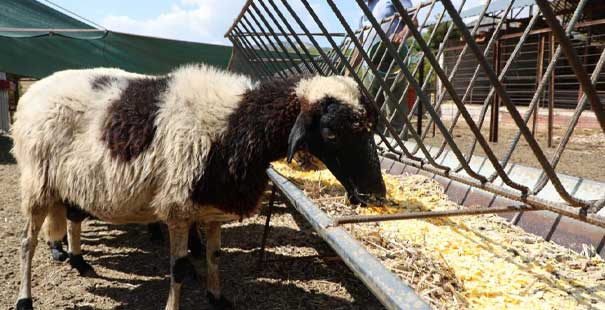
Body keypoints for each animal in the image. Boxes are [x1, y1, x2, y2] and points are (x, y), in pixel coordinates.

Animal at [11, 64, 384, 308]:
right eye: (331, 133)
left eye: (371, 128)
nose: (374, 195)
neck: (238, 125)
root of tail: (33, 91)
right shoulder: (178, 207)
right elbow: (177, 269)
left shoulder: (211, 206)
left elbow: (214, 256)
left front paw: (217, 298)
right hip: (37, 181)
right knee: (27, 243)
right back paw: (25, 299)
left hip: (71, 181)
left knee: (70, 219)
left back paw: (79, 261)